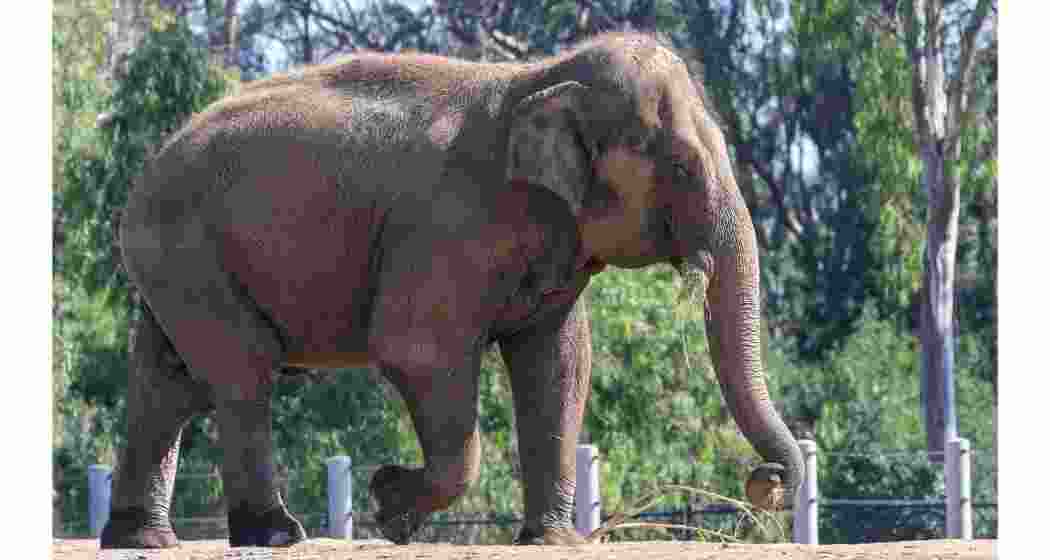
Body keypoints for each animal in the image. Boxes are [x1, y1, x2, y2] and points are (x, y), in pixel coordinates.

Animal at [101, 31, 803, 548]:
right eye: (681, 166)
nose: (765, 481)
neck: (537, 78)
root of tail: (144, 168)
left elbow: (559, 362)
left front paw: (551, 542)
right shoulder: (446, 230)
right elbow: (418, 352)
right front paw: (389, 506)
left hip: (176, 262)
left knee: (169, 381)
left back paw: (144, 541)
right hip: (186, 247)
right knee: (242, 371)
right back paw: (275, 535)